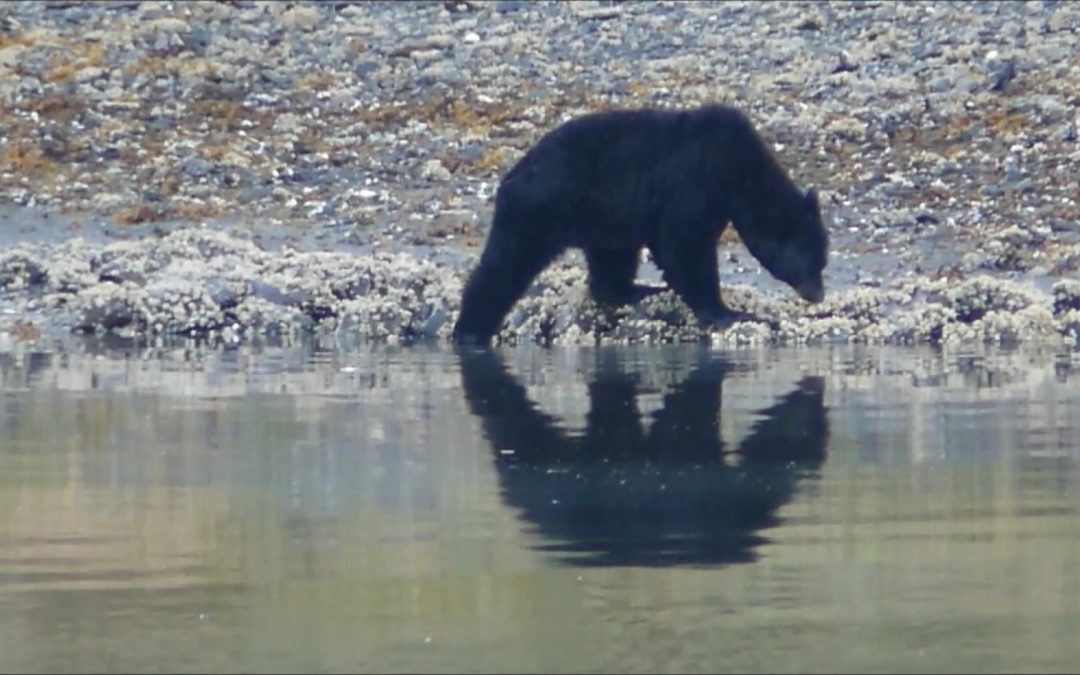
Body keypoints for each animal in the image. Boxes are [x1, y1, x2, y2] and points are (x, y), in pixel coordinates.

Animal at [451, 104, 829, 344]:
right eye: (815, 262)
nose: (818, 295)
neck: (742, 172)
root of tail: (510, 178)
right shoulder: (695, 181)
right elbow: (684, 245)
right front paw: (729, 312)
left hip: (604, 220)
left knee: (612, 261)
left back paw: (637, 290)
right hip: (538, 212)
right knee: (505, 267)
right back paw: (469, 331)